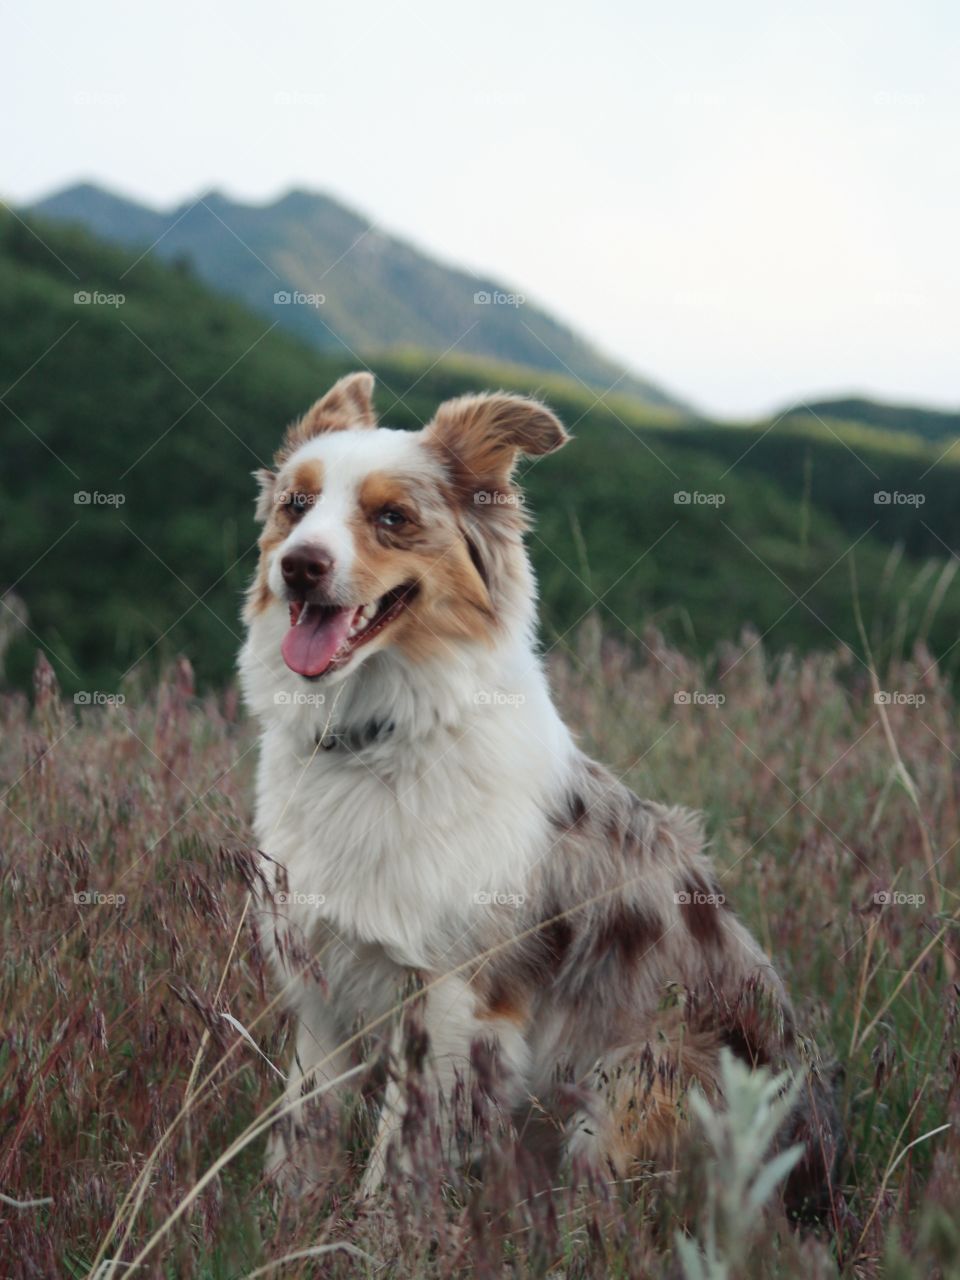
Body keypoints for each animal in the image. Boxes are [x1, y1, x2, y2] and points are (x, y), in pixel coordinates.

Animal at [240, 371, 839, 1208]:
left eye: (392, 518)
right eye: (296, 505)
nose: (298, 565)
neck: (378, 735)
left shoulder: (455, 1000)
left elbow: (399, 1155)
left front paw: (373, 1228)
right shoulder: (322, 982)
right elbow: (302, 1125)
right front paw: (279, 1221)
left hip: (629, 1085)